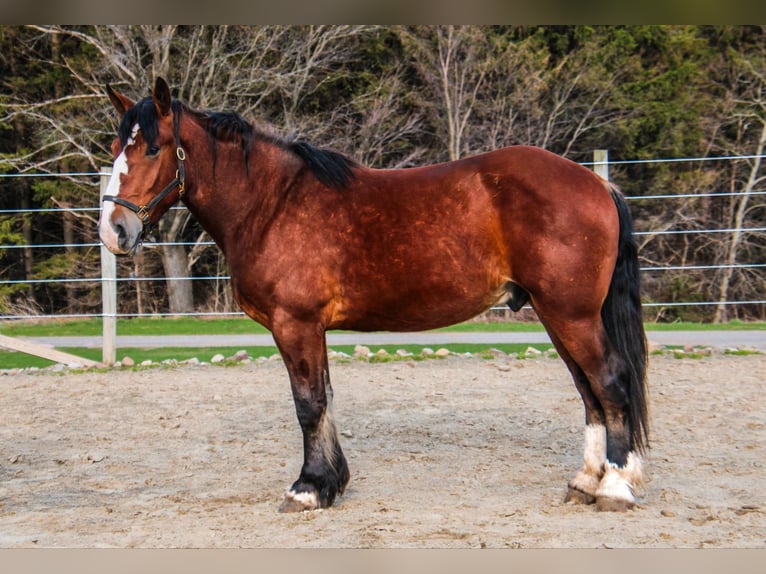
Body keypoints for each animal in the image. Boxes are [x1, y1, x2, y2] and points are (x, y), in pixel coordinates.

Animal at [99, 77, 649, 513]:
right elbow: (323, 400)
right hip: (558, 315)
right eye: (115, 147)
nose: (114, 230)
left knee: (610, 382)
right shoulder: (310, 328)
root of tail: (596, 184)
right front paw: (330, 483)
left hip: (572, 315)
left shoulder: (295, 323)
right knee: (589, 391)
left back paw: (615, 486)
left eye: (152, 148)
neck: (272, 205)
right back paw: (585, 481)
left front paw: (307, 489)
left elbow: (308, 405)